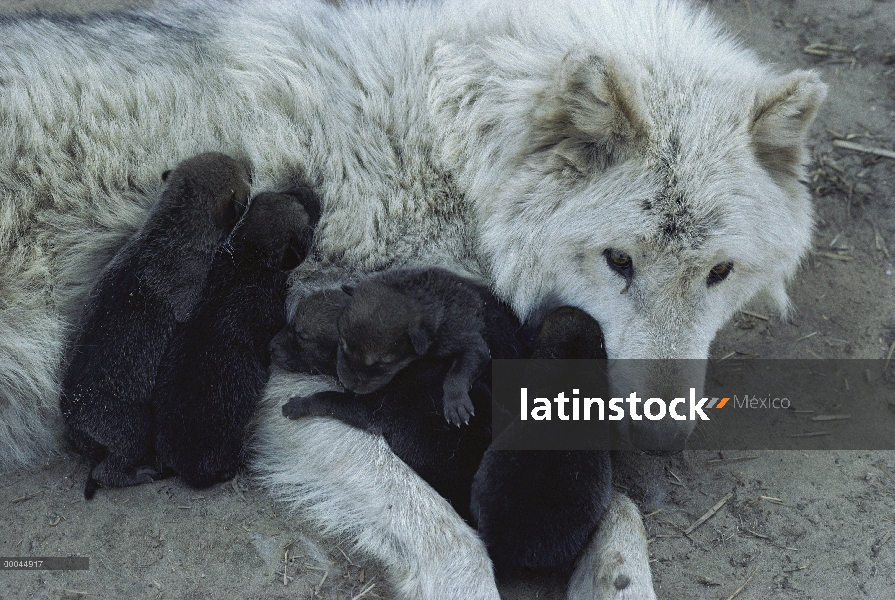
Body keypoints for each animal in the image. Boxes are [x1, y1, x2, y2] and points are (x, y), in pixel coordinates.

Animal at [0, 0, 824, 596]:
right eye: (618, 261)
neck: (453, 152)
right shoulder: (290, 383)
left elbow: (615, 512)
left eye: (719, 273)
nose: (660, 440)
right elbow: (454, 547)